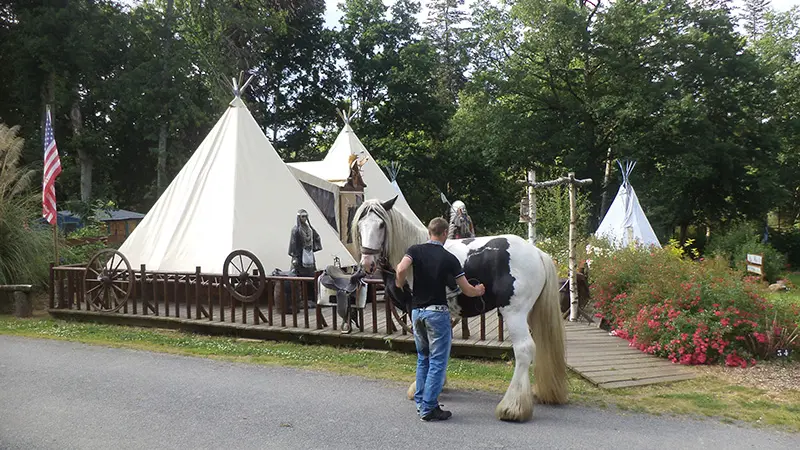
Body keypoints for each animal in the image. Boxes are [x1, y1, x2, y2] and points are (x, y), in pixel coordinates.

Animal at [352, 197, 568, 422]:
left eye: (381, 225)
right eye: (360, 225)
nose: (367, 263)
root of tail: (537, 253)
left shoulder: (415, 312)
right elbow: (443, 348)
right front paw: (439, 385)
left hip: (514, 314)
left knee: (524, 350)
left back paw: (513, 408)